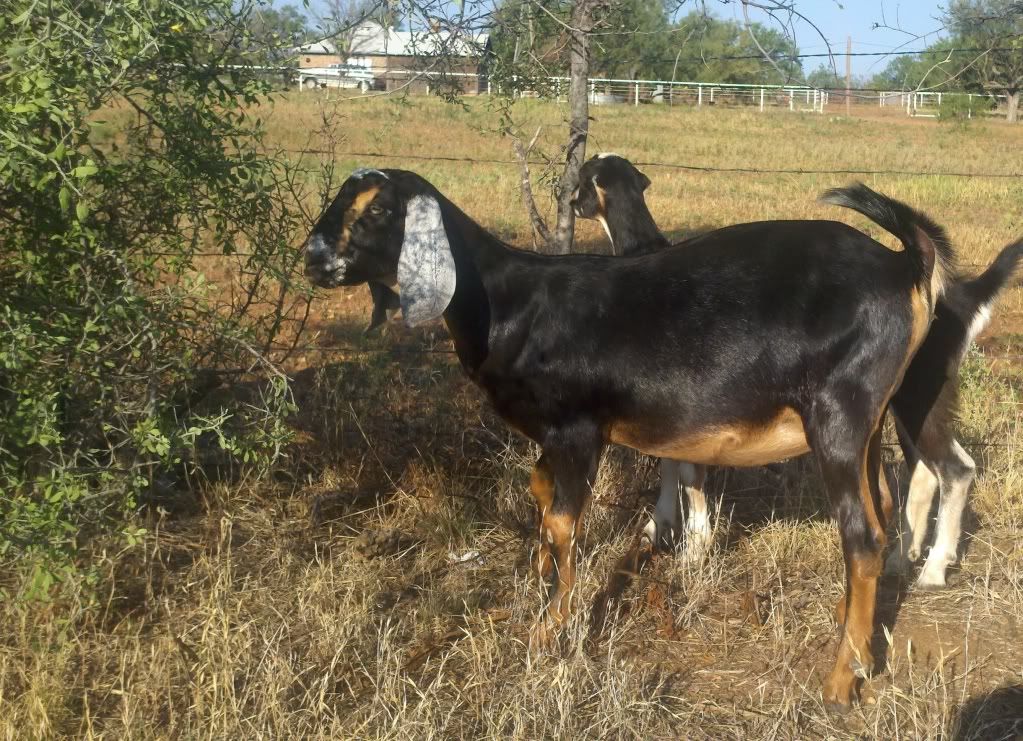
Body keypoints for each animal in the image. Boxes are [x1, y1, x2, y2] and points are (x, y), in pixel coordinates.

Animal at [304, 166, 956, 709]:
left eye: (377, 209)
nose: (312, 259)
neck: (510, 300)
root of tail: (903, 265)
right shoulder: (552, 440)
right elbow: (541, 501)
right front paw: (536, 593)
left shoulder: (576, 430)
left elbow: (563, 524)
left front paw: (548, 636)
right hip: (871, 421)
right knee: (882, 509)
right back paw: (859, 638)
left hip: (839, 414)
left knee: (862, 535)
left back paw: (842, 679)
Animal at [572, 153, 1023, 587]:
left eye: (582, 180)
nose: (572, 201)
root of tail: (920, 272)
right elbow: (670, 464)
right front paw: (662, 527)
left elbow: (687, 474)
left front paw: (693, 548)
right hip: (911, 399)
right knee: (928, 471)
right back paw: (902, 559)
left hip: (908, 393)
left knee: (954, 469)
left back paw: (933, 570)